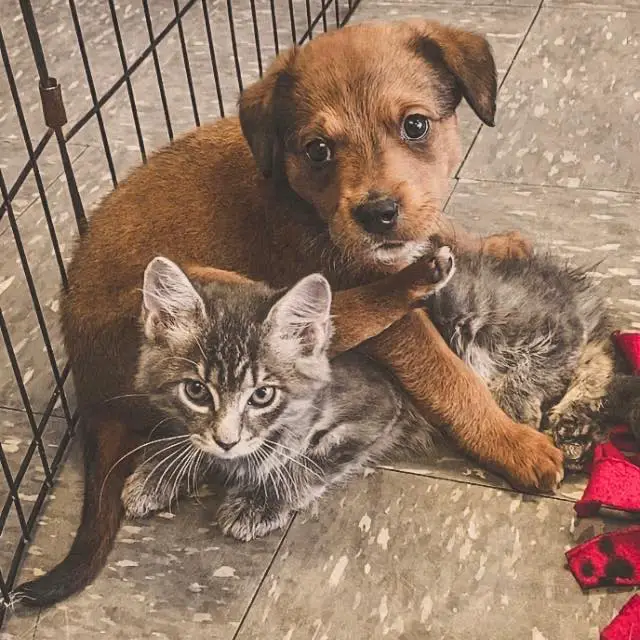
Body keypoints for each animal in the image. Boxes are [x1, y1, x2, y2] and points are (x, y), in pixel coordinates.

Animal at [121, 254, 450, 540]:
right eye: (196, 391)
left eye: (262, 395)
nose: (227, 442)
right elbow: (193, 439)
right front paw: (160, 470)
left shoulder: (378, 406)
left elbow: (307, 462)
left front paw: (259, 500)